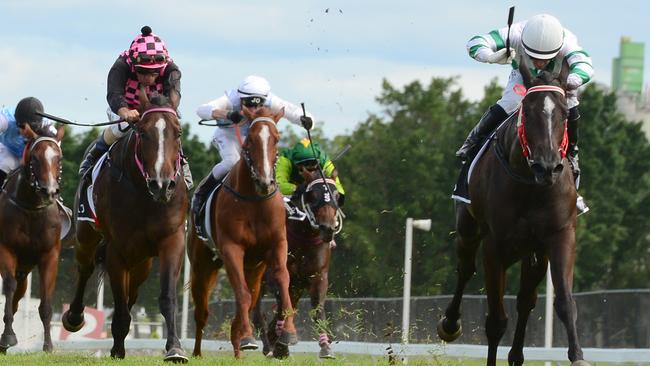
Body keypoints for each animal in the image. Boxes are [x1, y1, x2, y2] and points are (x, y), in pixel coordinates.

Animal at [0, 124, 65, 354]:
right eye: (35, 158)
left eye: (59, 158)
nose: (49, 190)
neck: (31, 207)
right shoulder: (6, 248)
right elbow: (8, 286)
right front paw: (8, 336)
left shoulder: (49, 254)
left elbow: (45, 301)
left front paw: (48, 345)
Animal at [62, 92, 189, 364]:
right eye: (142, 132)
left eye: (179, 132)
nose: (162, 185)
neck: (144, 194)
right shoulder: (117, 250)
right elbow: (119, 303)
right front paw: (117, 348)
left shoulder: (171, 241)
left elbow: (167, 296)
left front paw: (175, 348)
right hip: (87, 235)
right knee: (86, 268)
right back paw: (75, 317)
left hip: (142, 260)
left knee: (134, 291)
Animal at [187, 105, 296, 358]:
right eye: (250, 141)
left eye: (277, 139)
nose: (265, 181)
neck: (255, 200)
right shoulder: (231, 248)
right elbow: (241, 294)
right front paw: (248, 336)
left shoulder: (277, 244)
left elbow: (282, 280)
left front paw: (288, 332)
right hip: (201, 266)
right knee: (203, 311)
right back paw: (198, 352)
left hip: (254, 269)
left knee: (248, 297)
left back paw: (238, 349)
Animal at [252, 170, 344, 358]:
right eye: (313, 195)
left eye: (337, 195)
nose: (328, 228)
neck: (304, 237)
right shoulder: (276, 275)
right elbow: (283, 305)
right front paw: (281, 343)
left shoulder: (316, 277)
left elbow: (317, 308)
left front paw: (326, 347)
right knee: (256, 311)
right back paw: (266, 344)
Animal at [438, 63, 588, 366]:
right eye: (527, 111)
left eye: (565, 114)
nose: (547, 166)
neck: (530, 184)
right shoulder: (494, 245)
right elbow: (496, 320)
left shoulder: (560, 236)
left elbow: (565, 302)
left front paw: (577, 356)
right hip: (468, 229)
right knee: (465, 270)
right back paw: (449, 324)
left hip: (534, 254)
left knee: (525, 300)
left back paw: (517, 355)